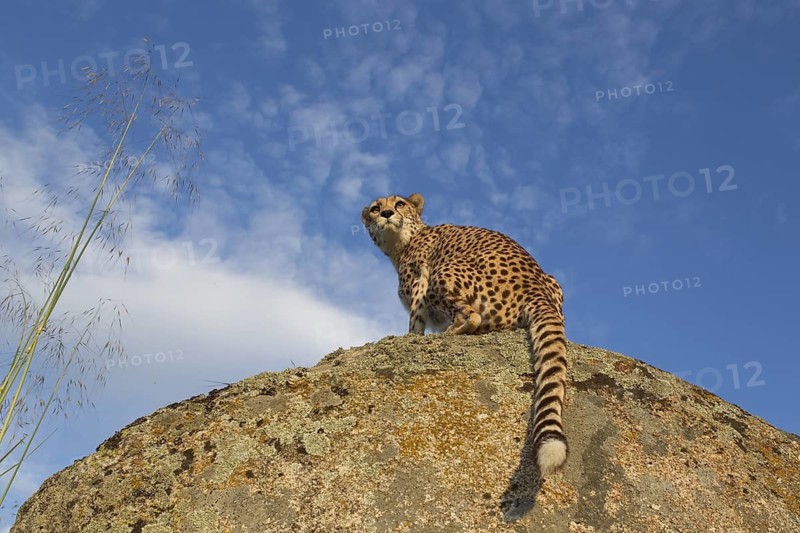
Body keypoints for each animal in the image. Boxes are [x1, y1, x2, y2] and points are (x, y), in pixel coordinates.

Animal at [361, 192, 568, 476]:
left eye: (399, 204)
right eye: (375, 209)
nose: (387, 214)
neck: (404, 241)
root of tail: (535, 287)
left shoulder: (420, 280)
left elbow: (415, 323)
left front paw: (412, 340)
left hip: (443, 272)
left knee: (473, 317)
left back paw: (449, 333)